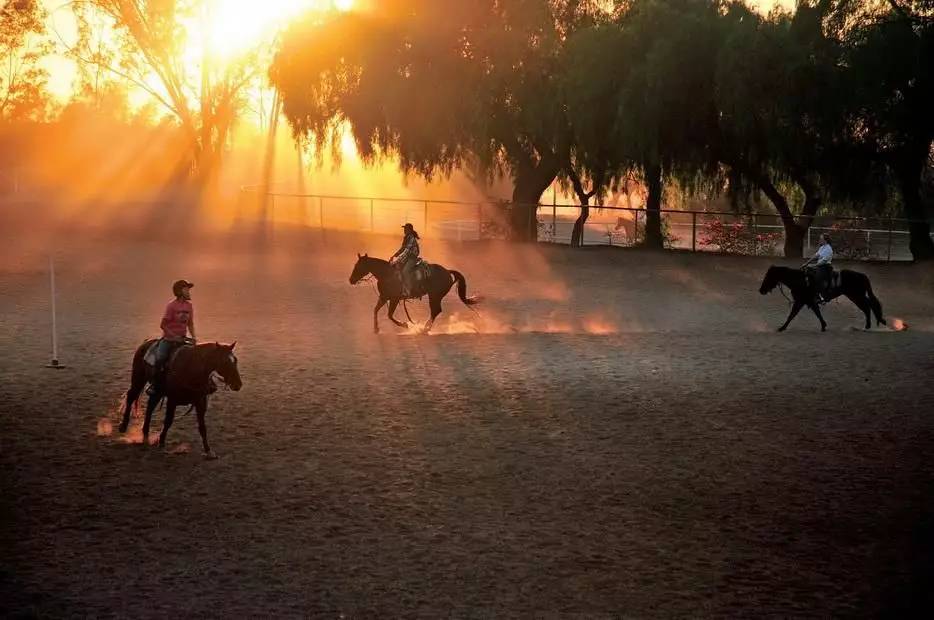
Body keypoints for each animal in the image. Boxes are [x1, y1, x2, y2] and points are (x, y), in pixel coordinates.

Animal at [352, 253, 482, 334]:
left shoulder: (394, 298)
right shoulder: (384, 297)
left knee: (436, 310)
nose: (351, 280)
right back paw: (425, 328)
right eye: (355, 265)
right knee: (436, 311)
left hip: (434, 296)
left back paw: (424, 329)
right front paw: (376, 329)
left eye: (359, 266)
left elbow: (389, 315)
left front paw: (405, 325)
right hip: (434, 296)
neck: (387, 274)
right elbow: (376, 310)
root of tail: (447, 271)